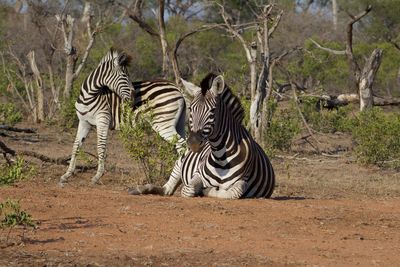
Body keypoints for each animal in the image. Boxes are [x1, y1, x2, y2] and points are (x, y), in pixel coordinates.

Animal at [59, 48, 186, 186]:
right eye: (124, 76)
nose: (133, 97)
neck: (89, 96)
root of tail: (178, 89)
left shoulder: (103, 120)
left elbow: (101, 147)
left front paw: (97, 176)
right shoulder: (84, 122)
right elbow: (76, 146)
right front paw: (67, 175)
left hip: (163, 124)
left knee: (182, 146)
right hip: (178, 124)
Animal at [130, 73, 276, 199]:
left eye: (213, 110)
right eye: (191, 109)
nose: (193, 142)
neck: (221, 157)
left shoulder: (242, 181)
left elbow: (232, 192)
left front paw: (206, 191)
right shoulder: (197, 174)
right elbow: (188, 189)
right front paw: (202, 190)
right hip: (181, 160)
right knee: (167, 188)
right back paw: (138, 189)